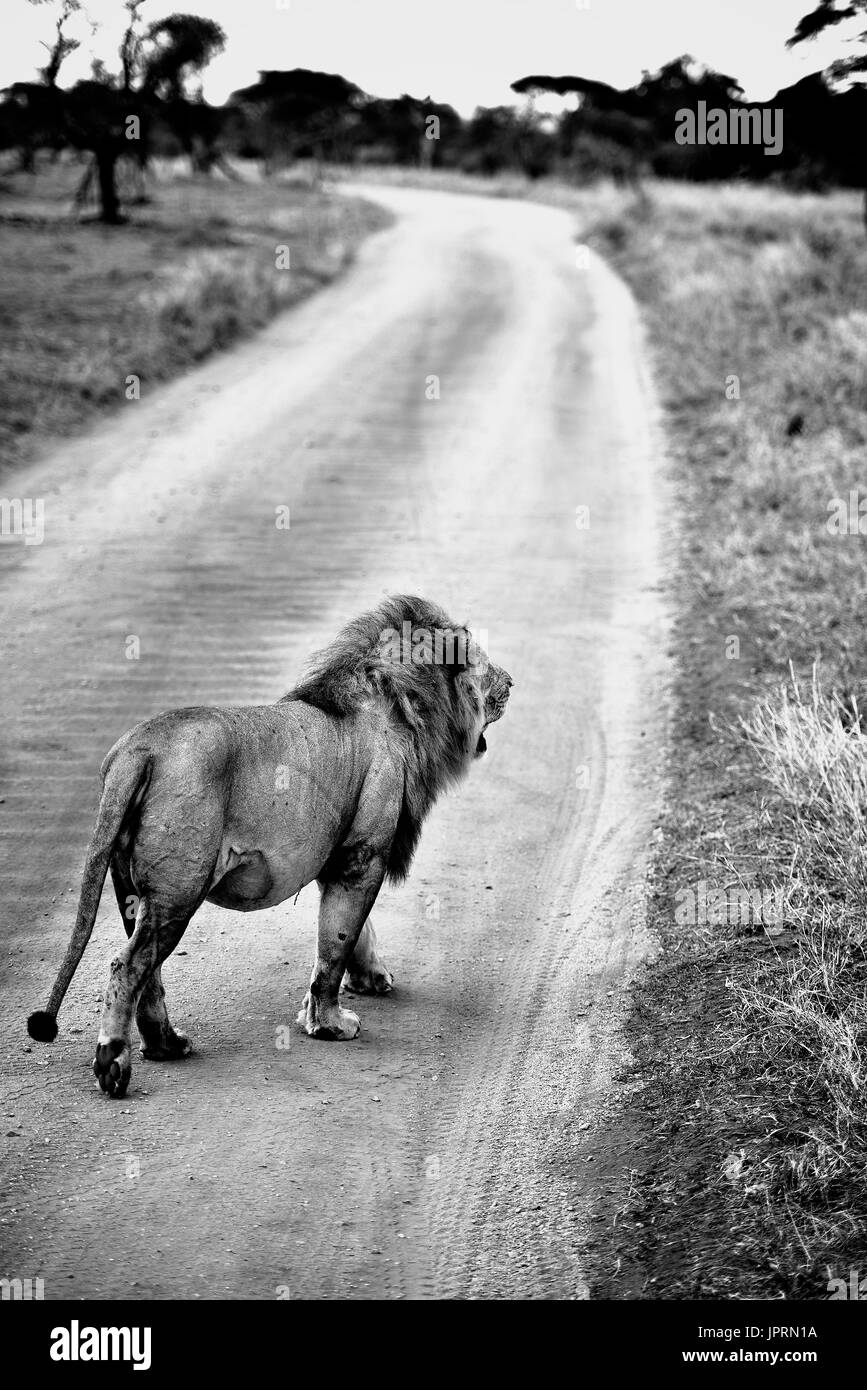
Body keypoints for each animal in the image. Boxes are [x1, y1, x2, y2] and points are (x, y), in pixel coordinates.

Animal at [27, 594, 511, 1095]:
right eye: (482, 663)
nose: (511, 683)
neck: (403, 707)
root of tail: (138, 751)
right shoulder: (363, 853)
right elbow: (336, 942)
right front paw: (330, 1024)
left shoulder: (340, 853)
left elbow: (356, 933)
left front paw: (369, 979)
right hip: (178, 890)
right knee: (129, 966)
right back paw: (114, 1064)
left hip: (133, 890)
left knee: (148, 971)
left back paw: (167, 1044)